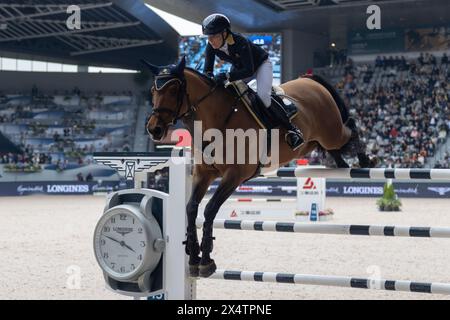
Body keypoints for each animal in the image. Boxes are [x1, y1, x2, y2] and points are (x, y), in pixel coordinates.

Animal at [143, 57, 372, 278]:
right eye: (153, 90)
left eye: (173, 90)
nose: (154, 129)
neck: (217, 120)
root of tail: (309, 80)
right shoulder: (204, 174)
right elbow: (191, 209)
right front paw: (192, 258)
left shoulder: (235, 175)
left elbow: (210, 209)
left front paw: (206, 260)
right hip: (314, 142)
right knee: (335, 147)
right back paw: (344, 166)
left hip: (330, 132)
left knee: (350, 128)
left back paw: (366, 161)